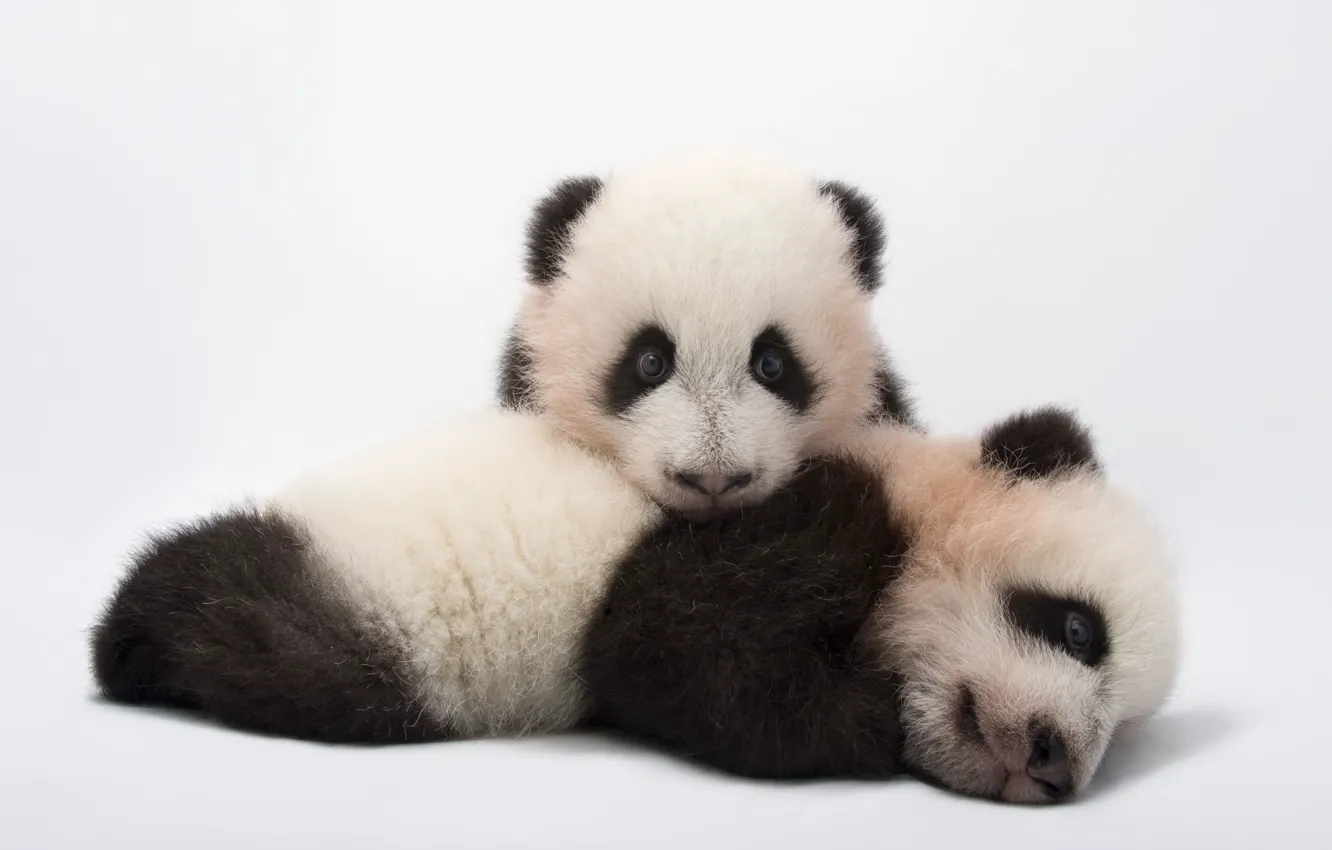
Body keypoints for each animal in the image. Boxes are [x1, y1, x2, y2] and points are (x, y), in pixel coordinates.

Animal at [90, 405, 1179, 804]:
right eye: (1076, 627)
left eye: (1122, 730)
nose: (1057, 762)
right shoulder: (802, 509)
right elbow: (662, 644)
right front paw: (870, 720)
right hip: (375, 603)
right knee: (257, 624)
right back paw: (135, 632)